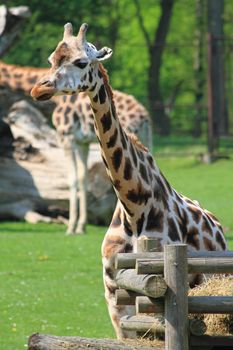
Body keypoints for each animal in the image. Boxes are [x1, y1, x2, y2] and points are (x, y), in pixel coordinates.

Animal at [0, 60, 152, 235]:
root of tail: (145, 118)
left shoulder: (67, 137)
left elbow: (71, 179)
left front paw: (71, 227)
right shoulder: (82, 142)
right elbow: (82, 178)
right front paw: (81, 226)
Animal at [31, 21, 228, 340]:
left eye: (81, 62)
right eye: (51, 59)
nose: (39, 88)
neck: (134, 203)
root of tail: (219, 228)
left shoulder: (164, 288)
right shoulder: (114, 293)